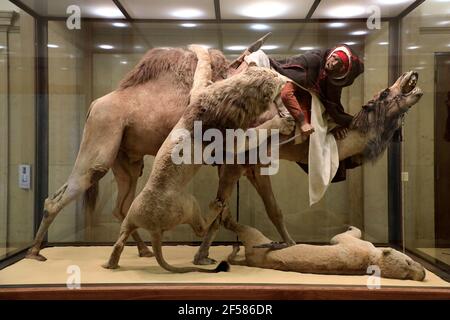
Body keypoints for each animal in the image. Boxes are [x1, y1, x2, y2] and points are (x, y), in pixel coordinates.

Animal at [102, 46, 284, 274]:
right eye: (274, 76)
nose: (285, 80)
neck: (229, 94)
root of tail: (154, 230)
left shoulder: (197, 92)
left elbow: (202, 72)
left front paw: (199, 49)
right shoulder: (228, 137)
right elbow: (253, 134)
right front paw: (283, 122)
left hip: (130, 218)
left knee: (119, 241)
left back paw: (110, 264)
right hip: (189, 205)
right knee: (200, 228)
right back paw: (216, 207)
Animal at [225, 218, 426, 280]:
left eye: (406, 275)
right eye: (409, 262)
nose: (422, 274)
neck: (370, 260)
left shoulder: (359, 247)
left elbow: (339, 237)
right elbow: (339, 237)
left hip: (257, 248)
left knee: (248, 232)